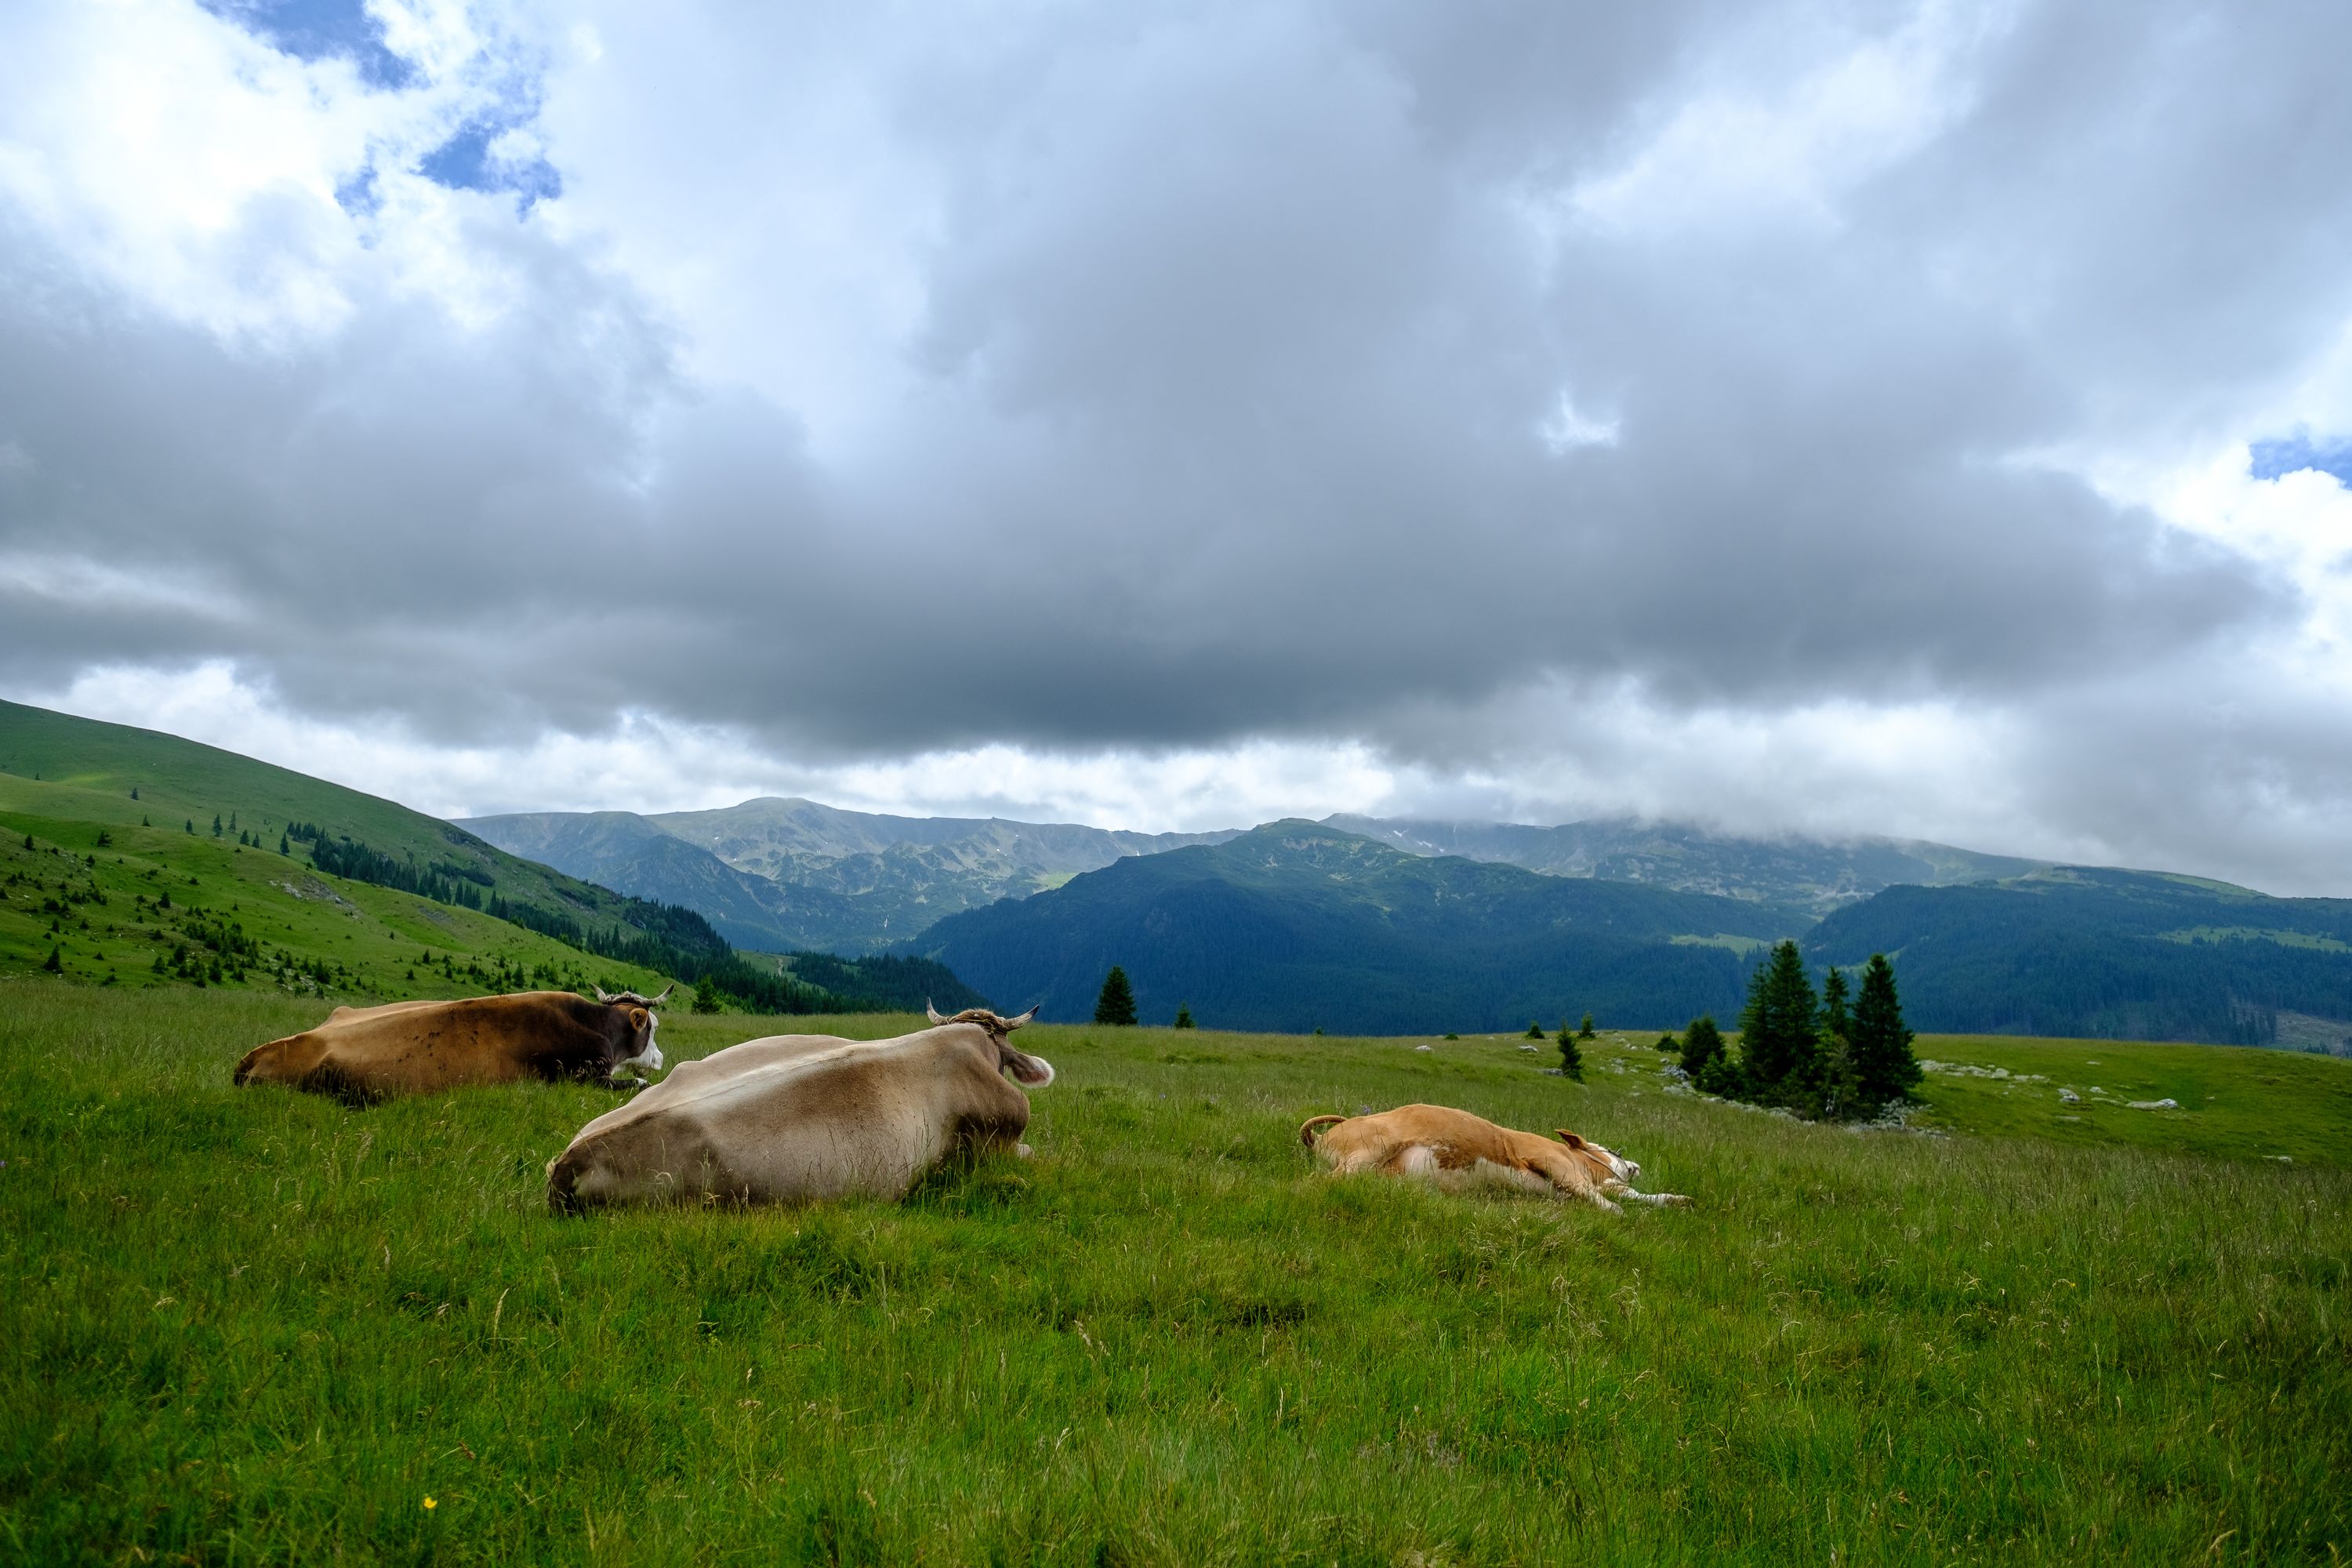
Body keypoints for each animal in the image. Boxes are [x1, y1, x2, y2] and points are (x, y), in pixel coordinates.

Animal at [1289, 1105, 1693, 1213]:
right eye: (1612, 1149)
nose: (1634, 1164)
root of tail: (1320, 1139)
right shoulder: (1553, 1162)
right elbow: (1612, 1205)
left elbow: (1638, 1197)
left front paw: (1678, 1199)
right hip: (1370, 1149)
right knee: (1313, 1184)